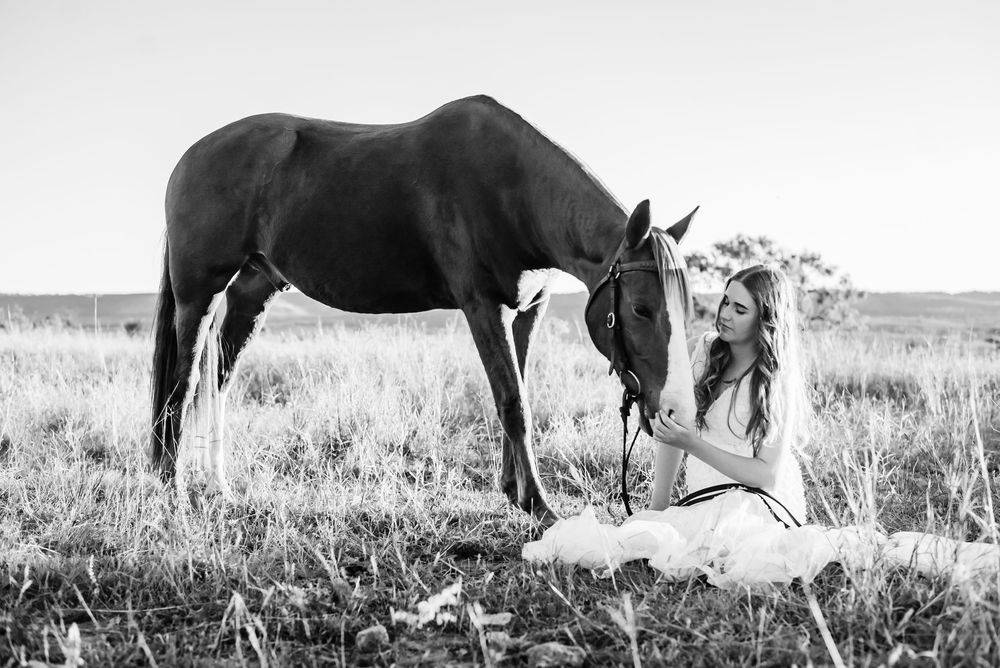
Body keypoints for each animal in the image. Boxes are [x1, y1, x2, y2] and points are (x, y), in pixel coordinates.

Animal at [151, 95, 697, 525]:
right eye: (642, 309)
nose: (671, 409)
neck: (513, 188)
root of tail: (189, 157)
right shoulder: (483, 308)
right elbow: (512, 402)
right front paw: (541, 507)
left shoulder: (527, 311)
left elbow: (520, 392)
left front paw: (516, 494)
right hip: (199, 294)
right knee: (183, 383)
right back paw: (171, 487)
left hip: (253, 290)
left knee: (216, 381)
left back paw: (217, 486)